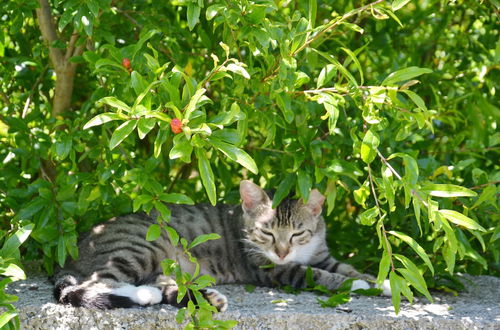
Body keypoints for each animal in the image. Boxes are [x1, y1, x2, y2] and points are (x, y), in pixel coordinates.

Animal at [53, 180, 390, 312]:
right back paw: (143, 295)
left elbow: (345, 267)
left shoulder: (321, 254)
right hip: (139, 247)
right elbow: (320, 275)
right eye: (266, 233)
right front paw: (359, 284)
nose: (282, 252)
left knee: (164, 285)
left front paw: (382, 282)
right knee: (96, 283)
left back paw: (205, 299)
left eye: (297, 234)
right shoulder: (271, 269)